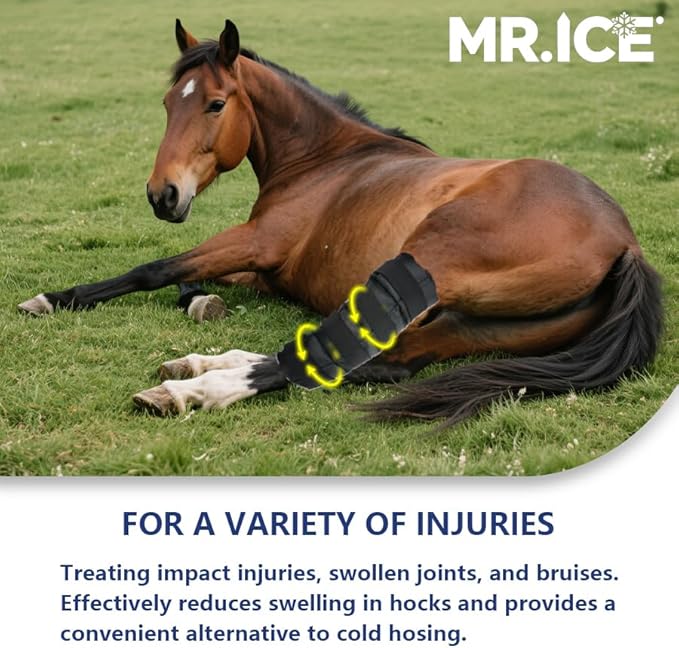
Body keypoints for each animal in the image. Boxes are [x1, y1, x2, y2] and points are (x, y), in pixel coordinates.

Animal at [18, 19, 663, 428]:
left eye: (216, 104)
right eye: (167, 103)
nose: (163, 195)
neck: (325, 159)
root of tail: (626, 245)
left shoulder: (255, 243)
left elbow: (154, 268)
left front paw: (52, 299)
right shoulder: (264, 268)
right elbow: (188, 280)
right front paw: (202, 306)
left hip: (423, 264)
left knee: (337, 355)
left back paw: (194, 388)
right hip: (471, 328)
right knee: (380, 359)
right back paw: (206, 365)